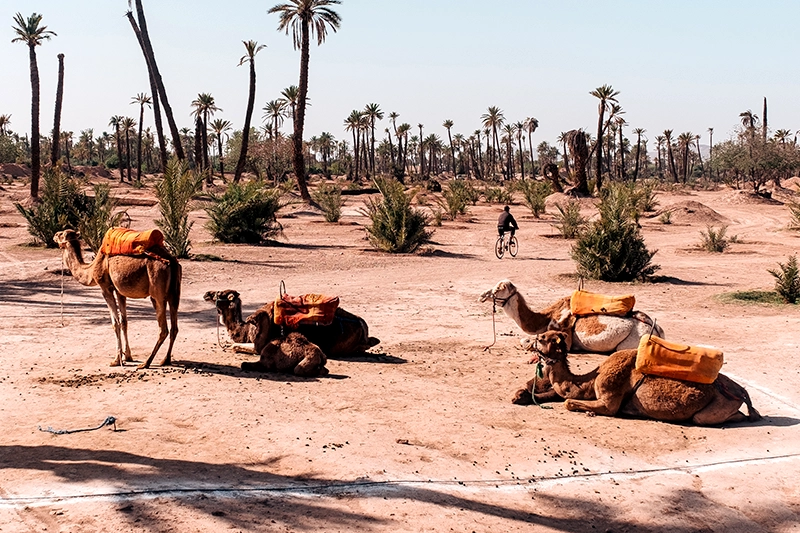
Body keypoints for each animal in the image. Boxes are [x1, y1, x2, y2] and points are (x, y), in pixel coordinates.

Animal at [54, 227, 181, 368]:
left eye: (61, 234)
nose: (54, 235)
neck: (91, 269)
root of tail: (172, 262)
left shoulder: (105, 288)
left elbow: (115, 323)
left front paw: (116, 360)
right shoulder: (120, 291)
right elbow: (124, 322)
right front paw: (128, 357)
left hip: (157, 291)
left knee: (163, 329)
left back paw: (146, 363)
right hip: (175, 293)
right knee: (174, 327)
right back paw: (166, 360)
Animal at [205, 288, 382, 360]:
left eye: (220, 294)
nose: (206, 294)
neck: (246, 329)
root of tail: (363, 327)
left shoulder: (258, 346)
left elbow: (234, 346)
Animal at [482, 278, 664, 354]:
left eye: (498, 289)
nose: (482, 296)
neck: (545, 318)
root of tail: (656, 330)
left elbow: (526, 341)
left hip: (630, 342)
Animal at [516, 328, 760, 424]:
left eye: (542, 338)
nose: (526, 340)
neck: (590, 380)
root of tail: (741, 391)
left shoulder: (609, 399)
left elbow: (569, 402)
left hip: (716, 407)